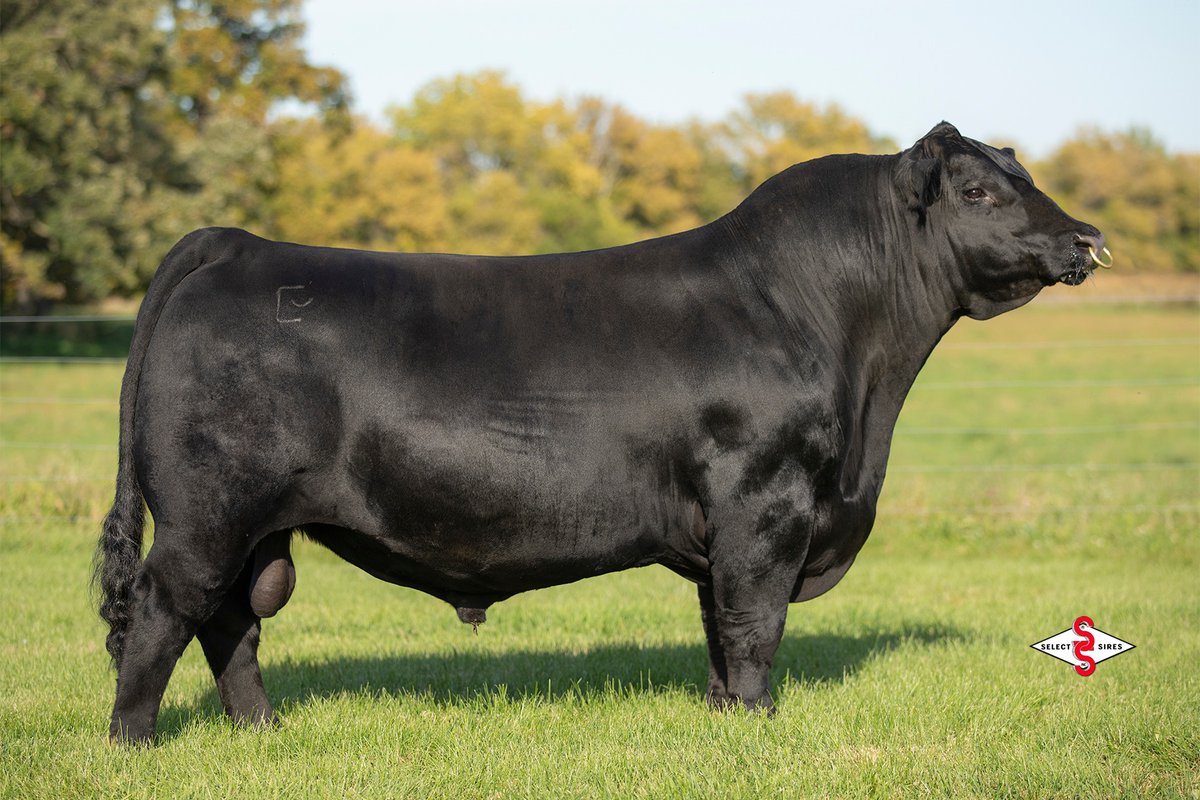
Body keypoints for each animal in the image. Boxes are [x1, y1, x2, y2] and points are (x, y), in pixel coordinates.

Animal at [95, 122, 1108, 743]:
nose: (1088, 239)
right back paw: (132, 746)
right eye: (976, 190)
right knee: (161, 612)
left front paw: (724, 727)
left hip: (249, 527)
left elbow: (718, 627)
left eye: (1024, 179)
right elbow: (755, 625)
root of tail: (239, 243)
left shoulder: (726, 526)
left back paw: (262, 733)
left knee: (230, 623)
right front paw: (760, 726)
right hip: (206, 512)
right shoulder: (765, 501)